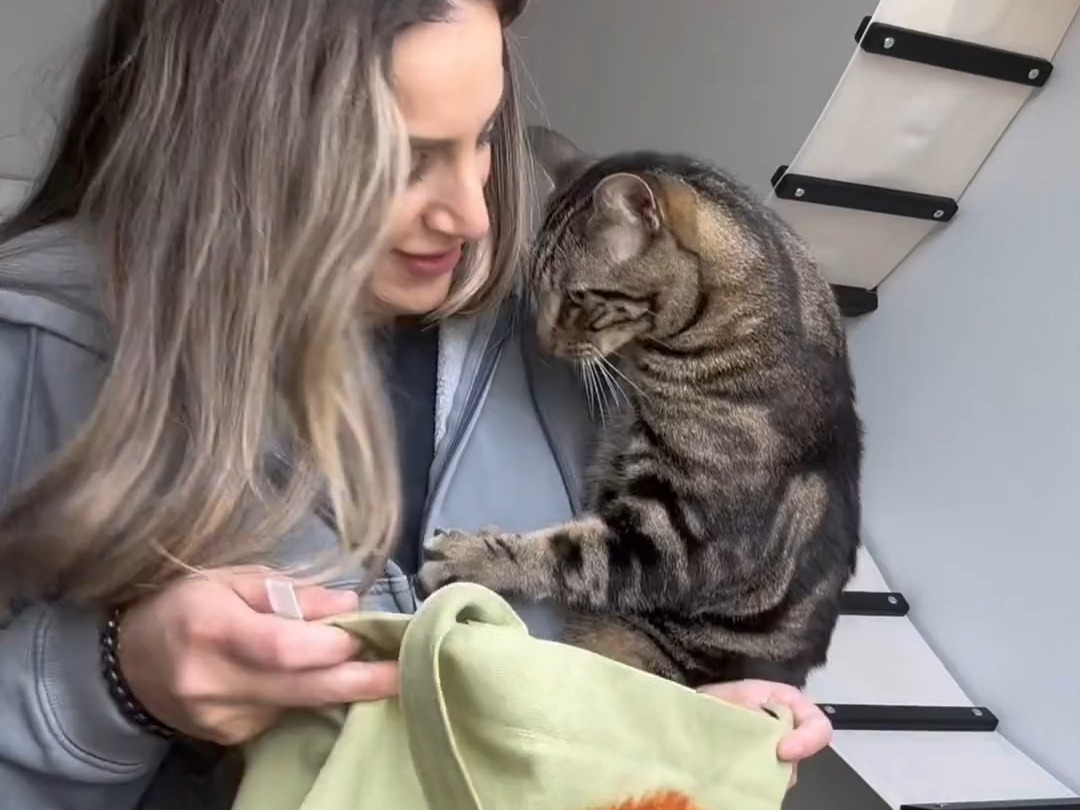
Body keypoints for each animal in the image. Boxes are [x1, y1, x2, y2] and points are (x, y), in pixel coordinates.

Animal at [418, 125, 863, 689]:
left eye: (578, 297)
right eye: (537, 286)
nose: (541, 342)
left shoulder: (679, 545)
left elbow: (574, 556)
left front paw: (473, 557)